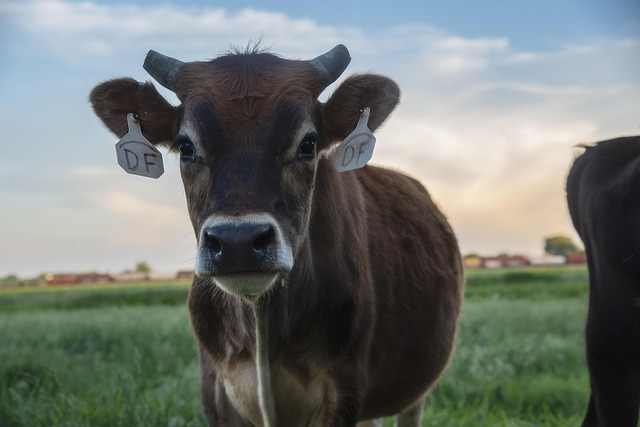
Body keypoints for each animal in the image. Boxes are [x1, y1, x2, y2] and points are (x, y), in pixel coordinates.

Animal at [90, 44, 464, 427]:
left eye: (308, 143)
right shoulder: (214, 388)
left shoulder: (344, 388)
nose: (237, 242)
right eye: (186, 145)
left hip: (415, 388)